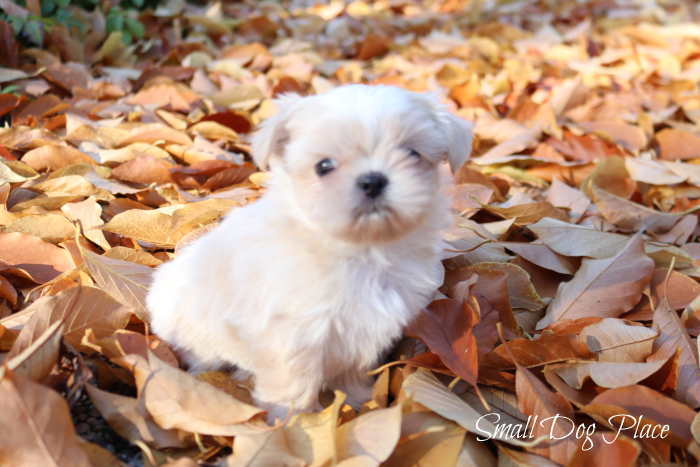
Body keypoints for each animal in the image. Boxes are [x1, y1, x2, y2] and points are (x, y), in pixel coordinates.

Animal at [148, 84, 476, 420]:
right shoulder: (291, 333)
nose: (372, 180)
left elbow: (351, 371)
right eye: (324, 166)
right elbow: (293, 381)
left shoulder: (362, 330)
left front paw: (356, 401)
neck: (362, 249)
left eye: (412, 153)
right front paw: (294, 422)